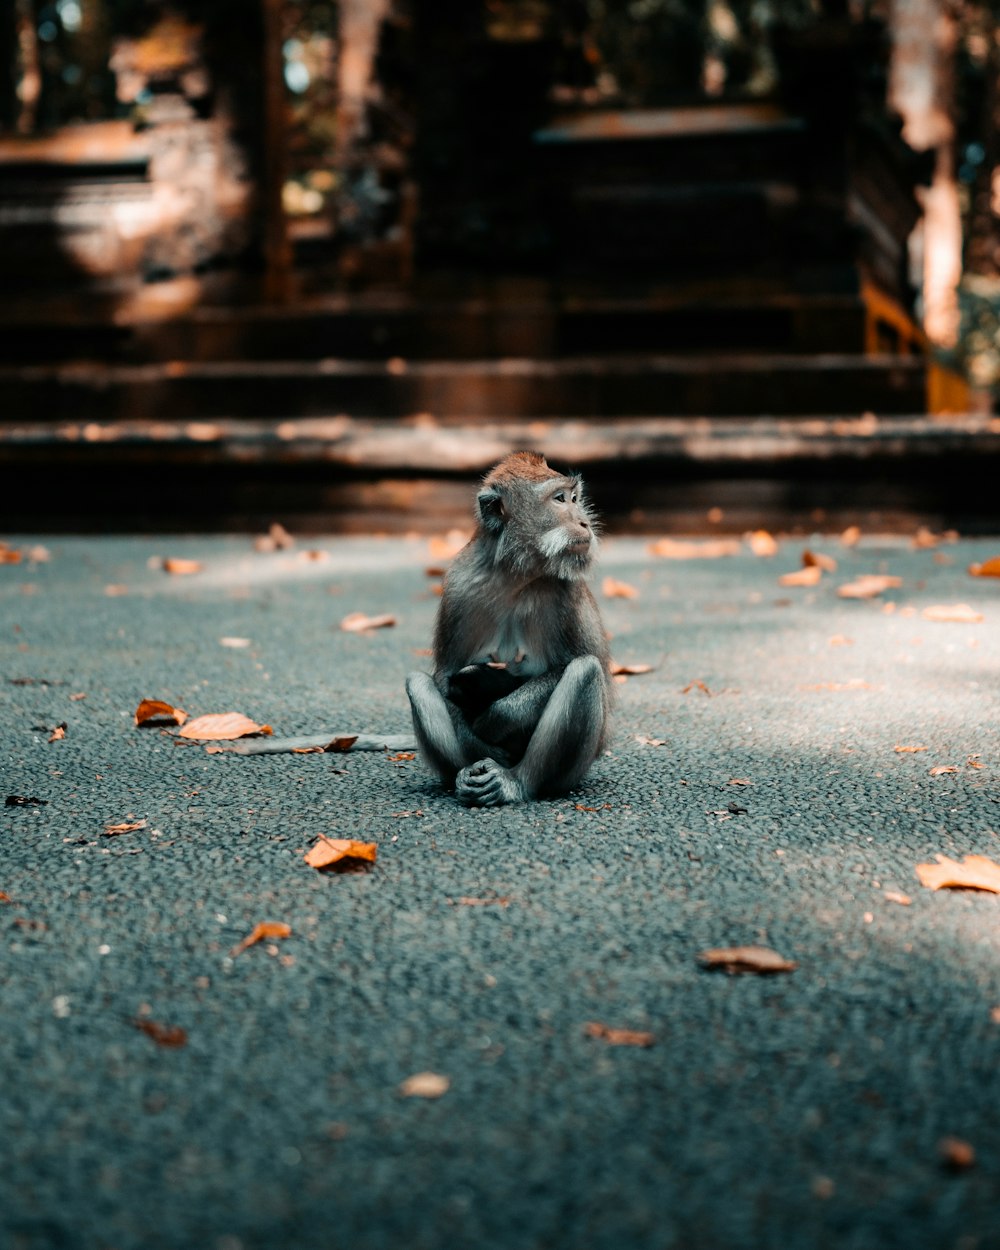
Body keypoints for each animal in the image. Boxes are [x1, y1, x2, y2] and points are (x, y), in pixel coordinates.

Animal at [405, 455, 610, 805]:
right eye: (560, 499)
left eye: (575, 498)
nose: (584, 522)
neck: (518, 575)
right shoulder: (459, 585)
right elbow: (445, 677)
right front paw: (478, 739)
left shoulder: (567, 593)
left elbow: (585, 671)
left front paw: (498, 717)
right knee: (418, 684)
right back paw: (466, 773)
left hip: (572, 773)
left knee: (586, 671)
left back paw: (516, 782)